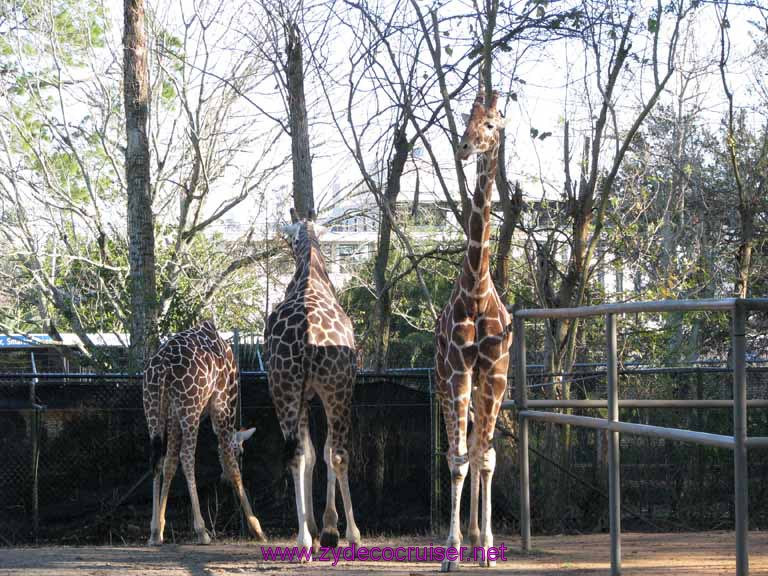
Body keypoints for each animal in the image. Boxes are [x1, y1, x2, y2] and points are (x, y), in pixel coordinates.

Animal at [143, 320, 266, 545]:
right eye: (242, 452)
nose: (222, 480)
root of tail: (163, 366)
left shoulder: (173, 416)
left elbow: (169, 463)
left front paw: (160, 529)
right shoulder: (223, 406)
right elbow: (231, 463)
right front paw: (257, 529)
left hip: (154, 409)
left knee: (157, 459)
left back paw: (154, 532)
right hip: (190, 409)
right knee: (187, 457)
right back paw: (202, 531)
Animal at [265, 208, 361, 557]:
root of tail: (307, 331)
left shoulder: (304, 394)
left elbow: (309, 454)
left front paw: (318, 529)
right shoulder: (333, 390)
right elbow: (326, 452)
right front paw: (330, 528)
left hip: (283, 387)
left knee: (296, 454)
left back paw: (303, 540)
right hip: (337, 389)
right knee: (338, 452)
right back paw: (351, 535)